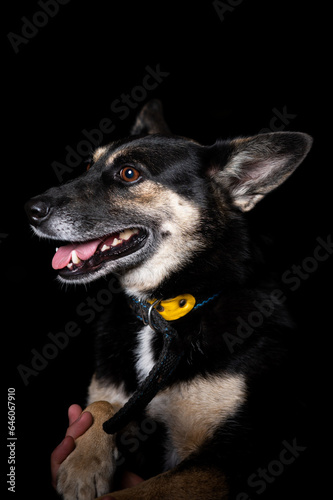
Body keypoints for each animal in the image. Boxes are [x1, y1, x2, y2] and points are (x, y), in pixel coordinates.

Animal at [25, 99, 312, 498]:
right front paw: (83, 464)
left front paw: (83, 469)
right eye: (87, 167)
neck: (160, 311)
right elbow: (100, 406)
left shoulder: (224, 462)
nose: (30, 210)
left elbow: (137, 493)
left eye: (129, 173)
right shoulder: (122, 407)